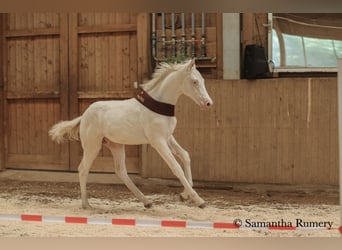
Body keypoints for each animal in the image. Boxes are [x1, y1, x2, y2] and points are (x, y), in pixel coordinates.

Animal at [49, 59, 212, 209]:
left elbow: (185, 156)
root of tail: (84, 116)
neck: (158, 106)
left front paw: (185, 195)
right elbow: (176, 167)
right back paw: (86, 204)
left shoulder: (168, 137)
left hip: (116, 146)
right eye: (194, 81)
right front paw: (199, 200)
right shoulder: (158, 141)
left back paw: (146, 201)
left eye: (202, 80)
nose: (208, 103)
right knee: (83, 169)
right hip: (92, 146)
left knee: (121, 171)